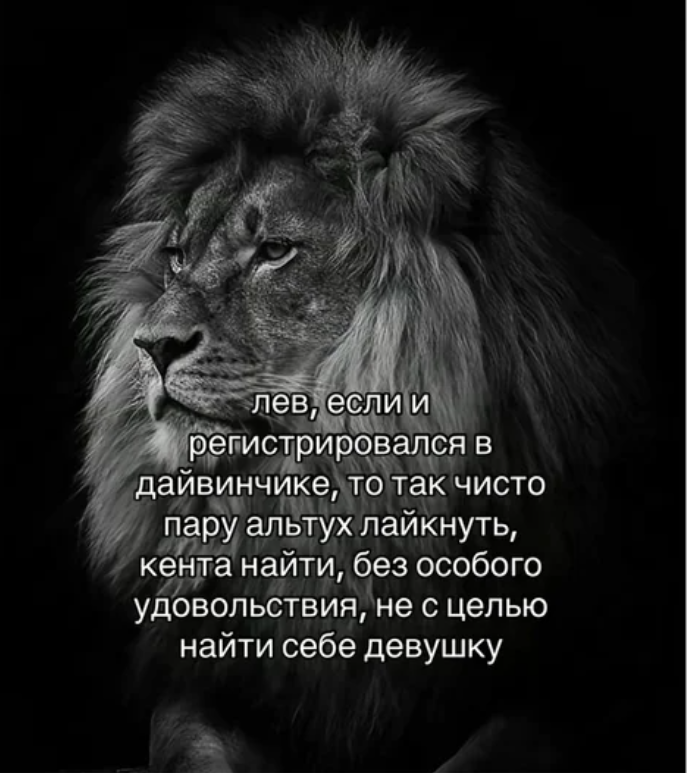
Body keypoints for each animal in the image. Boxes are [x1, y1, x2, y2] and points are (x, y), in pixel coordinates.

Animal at [80, 24, 641, 773]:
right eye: (175, 254)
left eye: (275, 250)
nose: (152, 344)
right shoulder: (203, 683)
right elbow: (194, 745)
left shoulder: (566, 690)